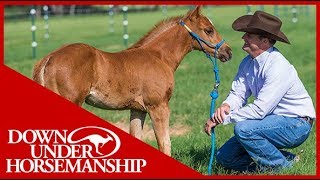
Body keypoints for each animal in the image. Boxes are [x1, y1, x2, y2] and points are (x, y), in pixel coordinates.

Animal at [32, 6, 231, 156]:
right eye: (208, 30)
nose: (228, 52)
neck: (159, 57)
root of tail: (48, 58)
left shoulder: (137, 109)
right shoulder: (158, 106)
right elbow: (165, 143)